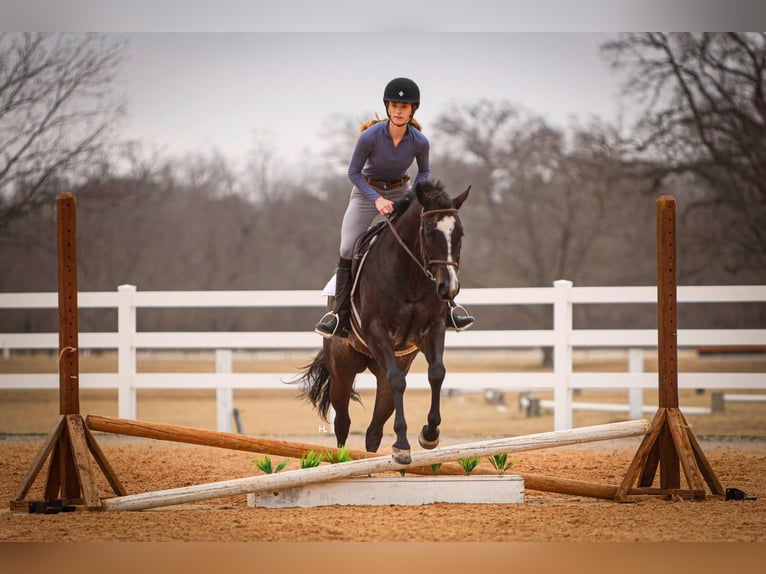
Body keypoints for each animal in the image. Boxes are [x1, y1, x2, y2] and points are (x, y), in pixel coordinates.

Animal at [297, 179, 471, 464]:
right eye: (428, 232)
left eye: (459, 235)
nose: (449, 288)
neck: (410, 275)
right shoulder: (377, 331)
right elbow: (398, 380)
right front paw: (402, 445)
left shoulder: (432, 330)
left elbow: (437, 373)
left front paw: (429, 434)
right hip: (343, 371)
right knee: (343, 422)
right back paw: (344, 460)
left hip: (385, 368)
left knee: (374, 429)